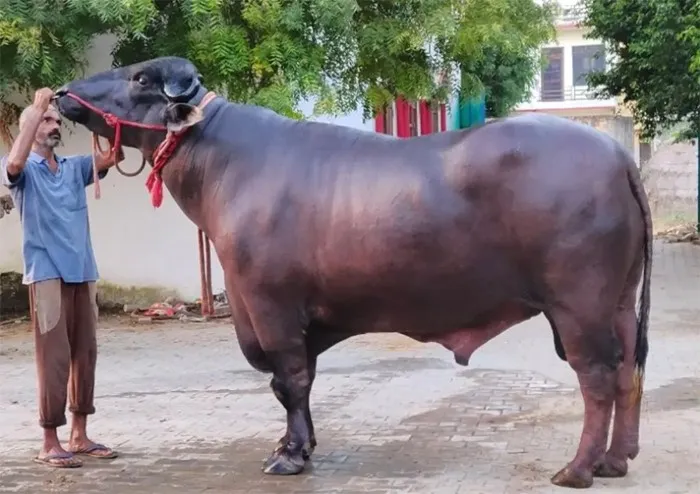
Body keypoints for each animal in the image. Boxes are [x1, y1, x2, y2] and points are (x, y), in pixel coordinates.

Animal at [54, 56, 652, 489]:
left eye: (139, 77)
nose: (62, 93)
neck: (226, 165)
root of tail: (614, 153)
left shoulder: (269, 306)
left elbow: (289, 380)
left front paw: (290, 455)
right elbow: (299, 382)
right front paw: (299, 445)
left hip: (579, 305)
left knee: (598, 377)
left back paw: (577, 469)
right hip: (620, 301)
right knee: (629, 370)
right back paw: (616, 460)